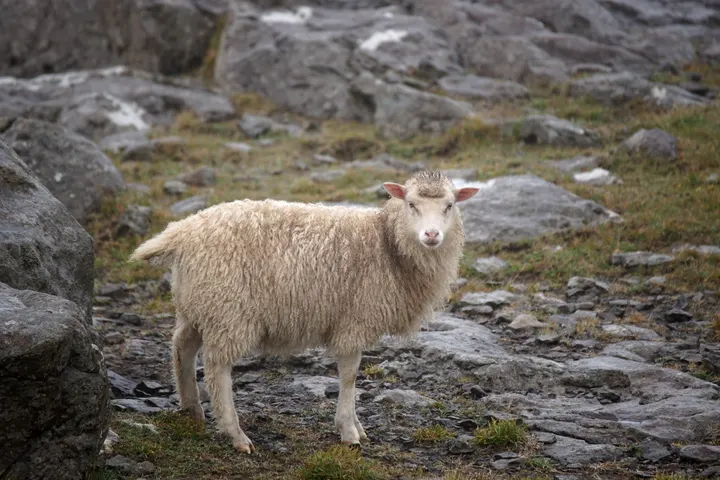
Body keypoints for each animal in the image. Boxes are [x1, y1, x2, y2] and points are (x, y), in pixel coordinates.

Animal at [129, 170, 479, 453]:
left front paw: (357, 426)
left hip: (199, 303)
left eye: (449, 206)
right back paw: (236, 434)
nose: (432, 235)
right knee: (217, 368)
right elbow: (350, 375)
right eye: (411, 204)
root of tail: (183, 230)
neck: (387, 243)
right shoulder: (353, 320)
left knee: (182, 347)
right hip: (229, 309)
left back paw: (192, 409)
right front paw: (349, 430)